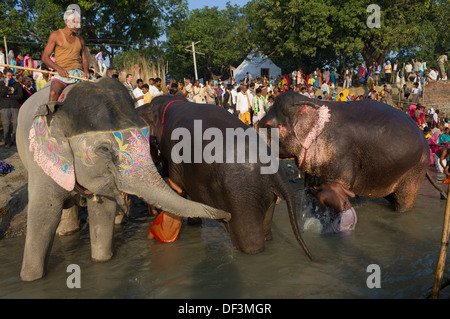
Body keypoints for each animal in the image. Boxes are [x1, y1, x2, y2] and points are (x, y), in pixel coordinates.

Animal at [15, 78, 230, 282]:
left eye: (149, 140)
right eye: (104, 149)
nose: (227, 216)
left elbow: (103, 212)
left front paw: (102, 261)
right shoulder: (41, 163)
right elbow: (44, 216)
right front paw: (30, 278)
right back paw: (67, 232)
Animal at [136, 96, 312, 262]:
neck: (166, 105)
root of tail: (275, 171)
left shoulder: (174, 159)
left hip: (241, 200)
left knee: (250, 243)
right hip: (265, 197)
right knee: (266, 229)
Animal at [256, 91, 436, 214]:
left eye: (268, 126)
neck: (312, 103)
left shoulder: (341, 156)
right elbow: (311, 187)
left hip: (415, 170)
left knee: (403, 200)